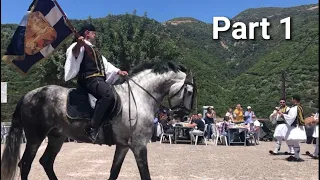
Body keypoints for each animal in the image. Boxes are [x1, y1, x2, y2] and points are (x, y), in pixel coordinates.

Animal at [0, 61, 195, 179]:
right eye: (189, 92)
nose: (184, 115)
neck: (139, 97)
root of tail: (28, 95)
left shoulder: (123, 146)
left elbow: (114, 172)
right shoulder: (139, 145)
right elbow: (145, 174)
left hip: (57, 137)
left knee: (46, 162)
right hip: (35, 137)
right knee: (25, 164)